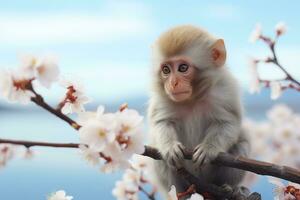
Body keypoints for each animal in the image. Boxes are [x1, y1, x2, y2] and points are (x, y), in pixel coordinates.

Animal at [146, 25, 250, 200]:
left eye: (183, 68)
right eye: (166, 70)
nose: (173, 83)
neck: (192, 99)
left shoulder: (225, 91)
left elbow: (228, 123)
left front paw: (208, 149)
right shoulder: (162, 99)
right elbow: (161, 123)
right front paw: (170, 147)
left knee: (241, 148)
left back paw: (230, 188)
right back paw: (181, 193)